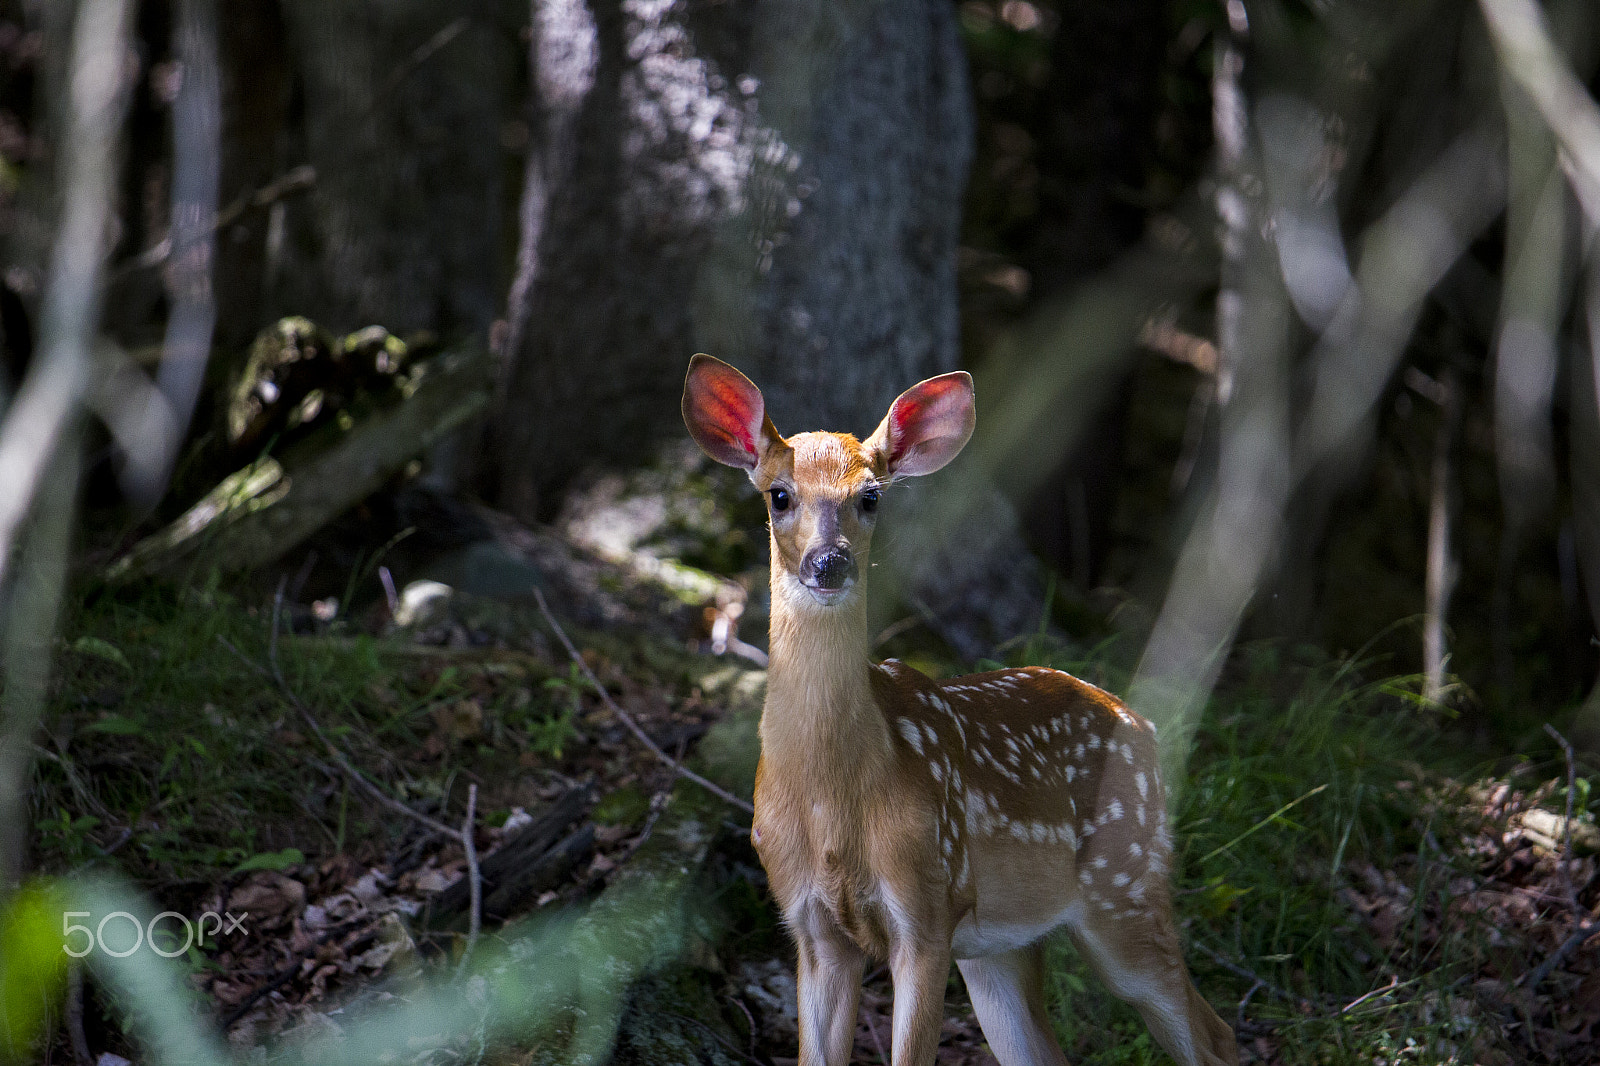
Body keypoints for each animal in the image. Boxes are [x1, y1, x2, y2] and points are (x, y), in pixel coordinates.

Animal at [681, 354, 1237, 1066]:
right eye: (779, 495)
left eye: (871, 496)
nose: (828, 562)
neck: (831, 798)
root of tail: (1145, 727)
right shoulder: (811, 924)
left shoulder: (926, 903)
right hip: (1002, 946)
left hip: (1126, 886)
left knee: (1214, 1034)